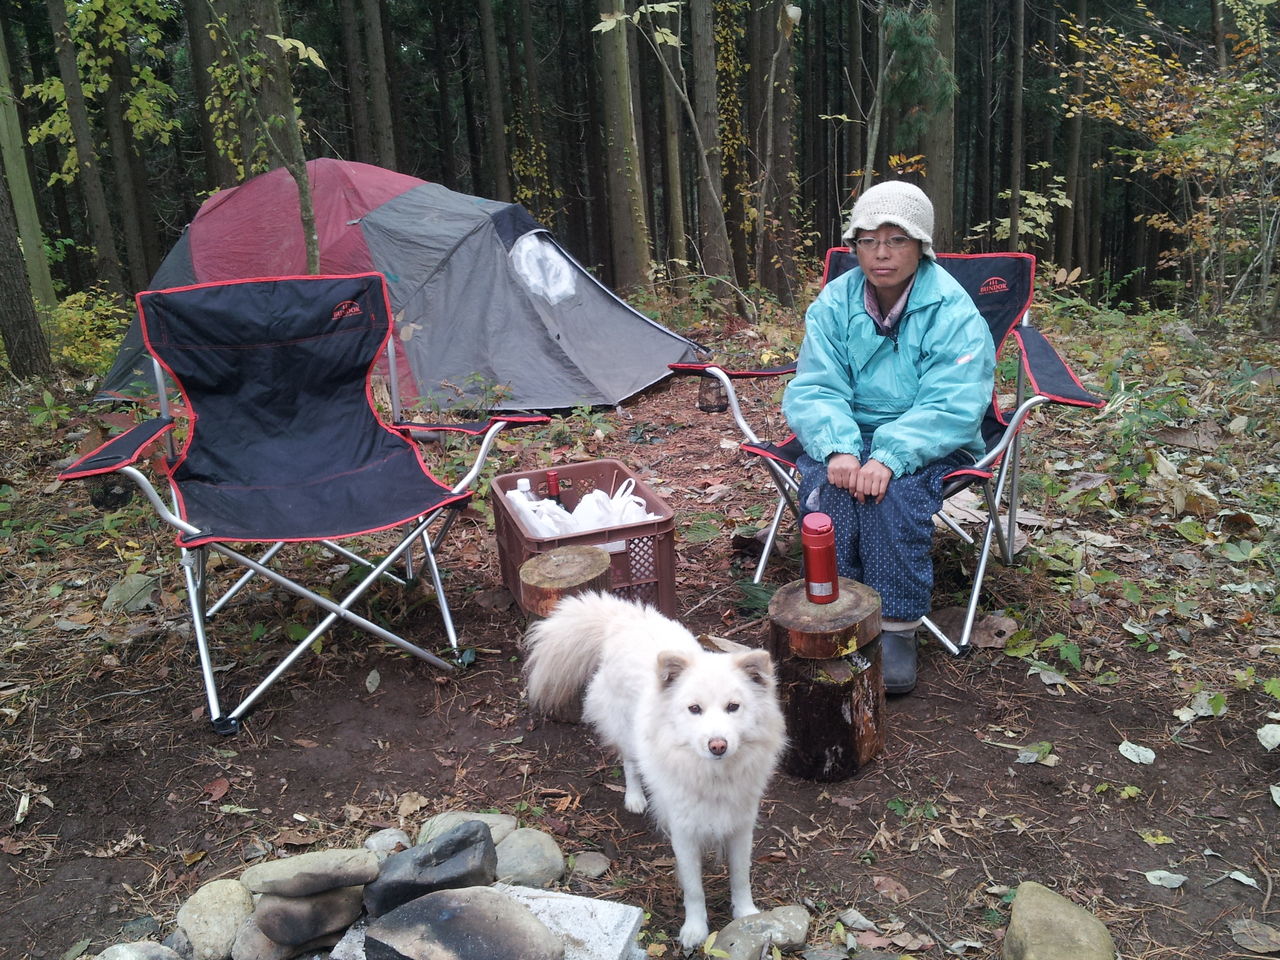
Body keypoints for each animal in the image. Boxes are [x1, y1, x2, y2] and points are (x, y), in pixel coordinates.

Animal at [523, 591, 786, 950]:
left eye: (734, 707)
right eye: (694, 709)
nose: (717, 745)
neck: (713, 776)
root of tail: (623, 620)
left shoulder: (741, 827)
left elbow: (740, 877)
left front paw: (746, 915)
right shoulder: (684, 834)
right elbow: (694, 890)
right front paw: (695, 930)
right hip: (628, 735)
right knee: (630, 765)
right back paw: (635, 798)